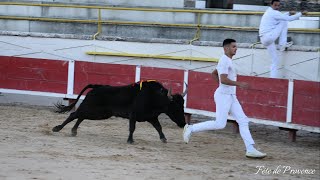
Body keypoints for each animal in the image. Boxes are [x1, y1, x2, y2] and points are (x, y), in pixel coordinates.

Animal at [52, 81, 188, 143]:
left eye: (182, 106)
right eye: (175, 107)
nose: (183, 124)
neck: (154, 97)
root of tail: (96, 86)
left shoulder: (152, 117)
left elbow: (159, 127)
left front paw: (163, 139)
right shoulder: (133, 115)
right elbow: (132, 128)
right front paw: (130, 140)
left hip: (99, 113)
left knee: (81, 117)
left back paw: (73, 131)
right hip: (90, 108)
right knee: (74, 115)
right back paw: (57, 128)